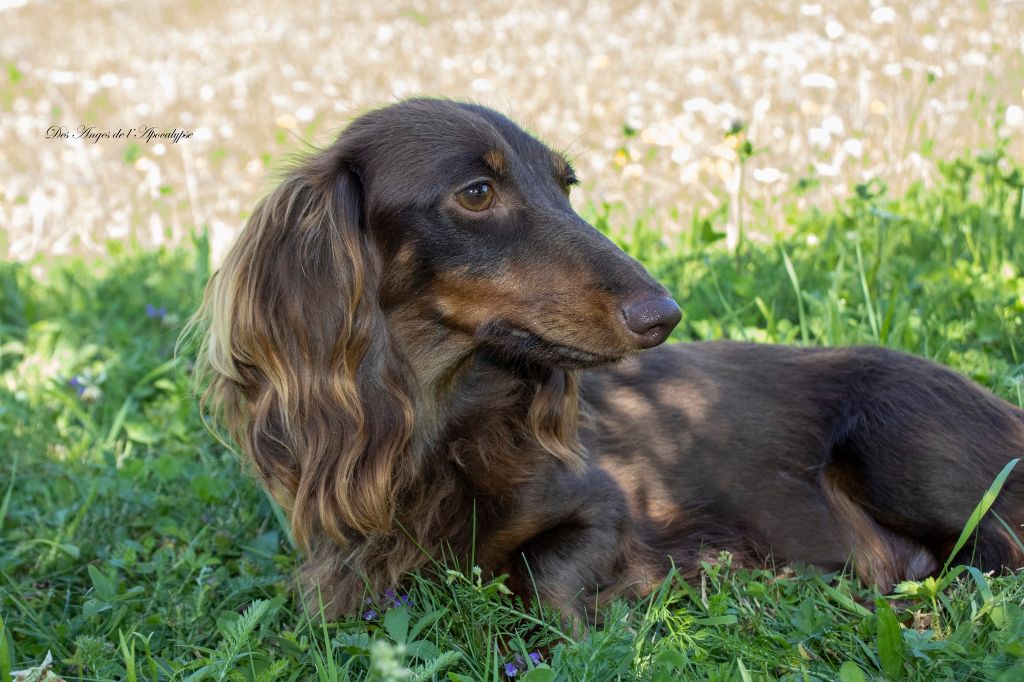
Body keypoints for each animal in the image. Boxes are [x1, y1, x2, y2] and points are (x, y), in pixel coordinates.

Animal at [193, 99, 1024, 614]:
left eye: (566, 186)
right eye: (476, 191)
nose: (663, 315)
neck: (443, 423)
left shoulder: (604, 510)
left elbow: (544, 575)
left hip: (905, 439)